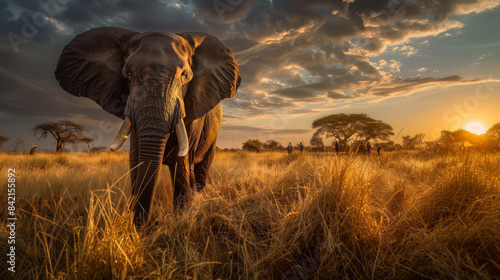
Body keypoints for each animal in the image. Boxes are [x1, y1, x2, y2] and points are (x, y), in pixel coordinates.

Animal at [54, 26, 240, 228]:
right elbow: (136, 160)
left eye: (184, 75)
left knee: (201, 167)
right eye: (128, 73)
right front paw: (133, 223)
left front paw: (180, 218)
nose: (143, 226)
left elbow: (179, 162)